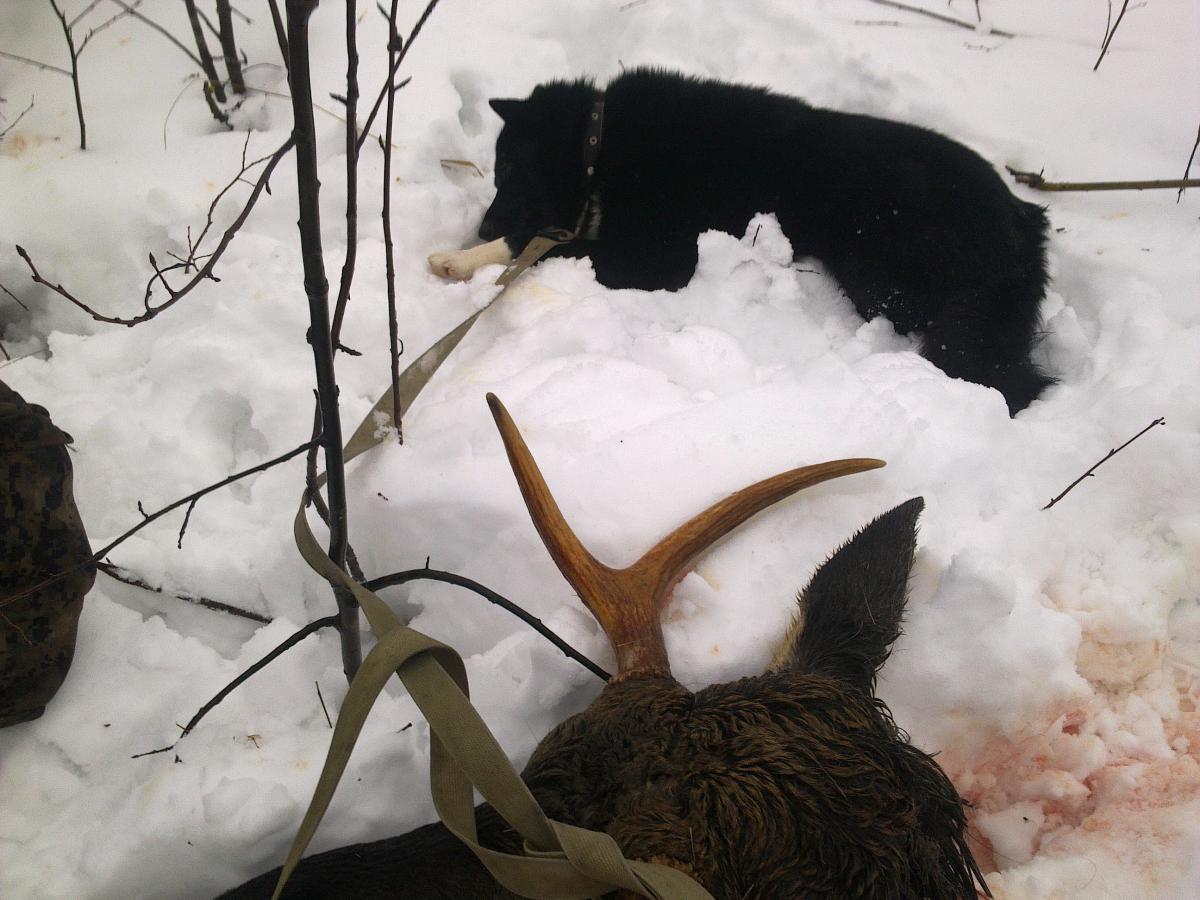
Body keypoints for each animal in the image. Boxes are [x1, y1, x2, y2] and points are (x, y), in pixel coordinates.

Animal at [429, 68, 1054, 414]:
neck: (600, 142)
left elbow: (547, 246)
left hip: (887, 274)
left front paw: (466, 258)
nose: (481, 227)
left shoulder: (663, 259)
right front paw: (465, 255)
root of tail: (1026, 220)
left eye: (509, 170)